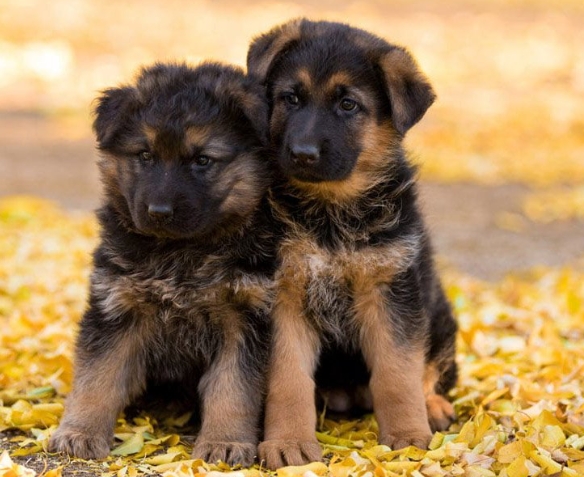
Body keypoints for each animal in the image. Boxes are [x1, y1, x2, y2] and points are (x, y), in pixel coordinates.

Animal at [49, 60, 280, 464]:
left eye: (202, 160)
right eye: (145, 156)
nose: (159, 212)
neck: (181, 254)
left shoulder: (244, 317)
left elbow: (233, 389)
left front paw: (225, 442)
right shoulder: (116, 307)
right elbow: (97, 377)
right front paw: (80, 432)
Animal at [246, 19, 456, 468]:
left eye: (348, 105)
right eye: (290, 97)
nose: (302, 154)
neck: (330, 212)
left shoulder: (391, 290)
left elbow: (398, 371)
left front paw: (407, 435)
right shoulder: (284, 297)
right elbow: (287, 380)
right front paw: (288, 442)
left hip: (439, 315)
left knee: (430, 369)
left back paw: (432, 407)